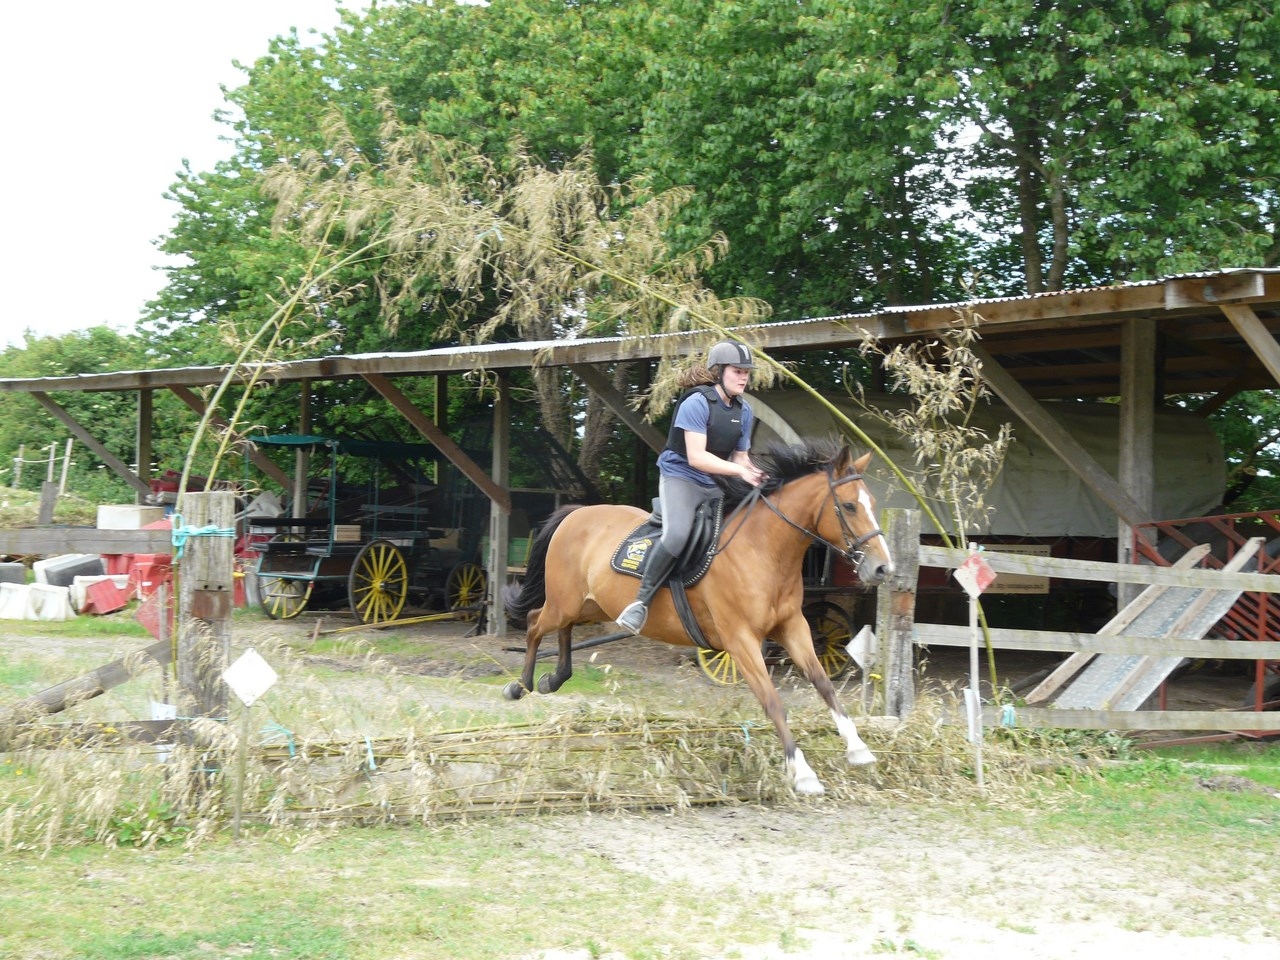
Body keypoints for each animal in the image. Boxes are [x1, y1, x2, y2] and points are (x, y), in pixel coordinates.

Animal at [504, 437, 896, 798]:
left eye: (874, 505)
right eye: (849, 505)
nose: (882, 568)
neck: (764, 549)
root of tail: (575, 514)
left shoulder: (792, 627)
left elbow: (824, 683)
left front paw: (858, 748)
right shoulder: (741, 641)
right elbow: (773, 702)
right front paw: (802, 773)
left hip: (590, 605)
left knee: (560, 628)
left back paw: (554, 679)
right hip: (566, 602)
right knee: (536, 623)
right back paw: (520, 685)